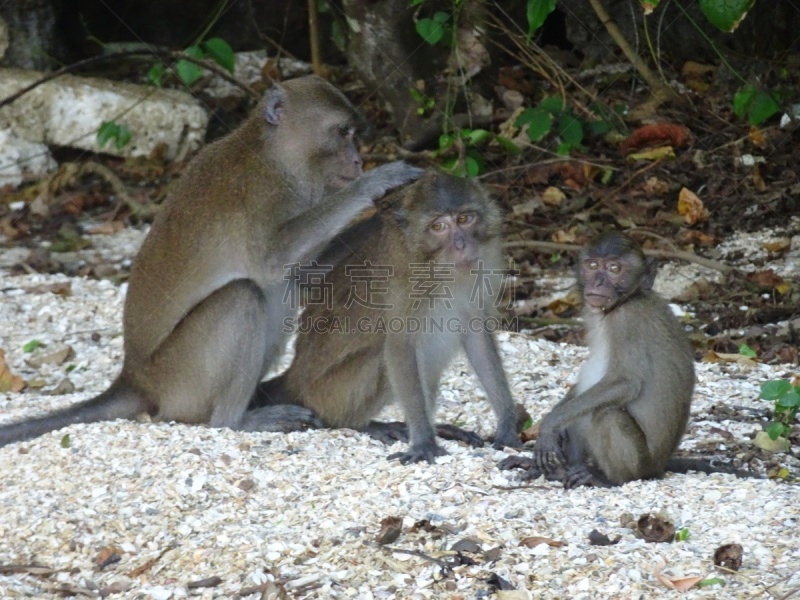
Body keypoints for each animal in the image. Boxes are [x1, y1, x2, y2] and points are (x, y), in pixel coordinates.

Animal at [0, 75, 424, 448]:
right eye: (343, 133)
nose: (358, 160)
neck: (276, 156)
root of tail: (134, 377)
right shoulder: (262, 193)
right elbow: (271, 263)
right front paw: (376, 184)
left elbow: (299, 275)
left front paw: (386, 216)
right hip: (180, 378)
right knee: (243, 295)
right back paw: (236, 420)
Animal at [253, 170, 520, 464]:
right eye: (439, 227)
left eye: (464, 218)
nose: (461, 244)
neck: (435, 266)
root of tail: (294, 378)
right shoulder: (405, 285)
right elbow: (399, 345)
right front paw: (424, 441)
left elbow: (477, 335)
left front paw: (508, 424)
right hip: (328, 393)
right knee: (389, 357)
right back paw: (361, 424)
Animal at [500, 232, 756, 490]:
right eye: (592, 265)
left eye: (614, 268)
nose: (598, 283)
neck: (626, 300)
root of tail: (659, 466)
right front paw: (555, 425)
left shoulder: (627, 321)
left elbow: (626, 383)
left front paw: (550, 425)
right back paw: (560, 470)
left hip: (641, 464)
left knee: (606, 415)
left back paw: (604, 478)